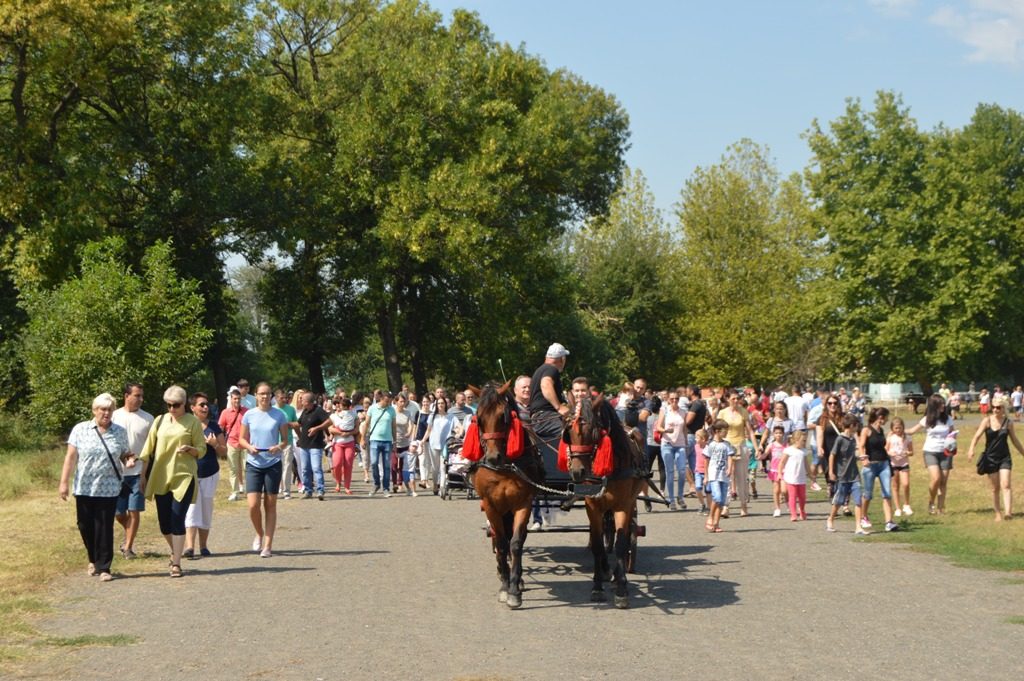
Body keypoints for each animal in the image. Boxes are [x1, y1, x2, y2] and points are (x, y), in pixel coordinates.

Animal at [466, 378, 544, 606]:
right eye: (479, 418)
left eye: (503, 416)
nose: (493, 457)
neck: (504, 469)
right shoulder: (491, 505)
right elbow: (501, 543)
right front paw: (504, 585)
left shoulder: (522, 503)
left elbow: (516, 543)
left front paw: (514, 589)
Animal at [565, 391, 643, 606]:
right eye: (568, 432)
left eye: (593, 432)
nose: (577, 472)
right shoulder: (592, 506)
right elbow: (598, 545)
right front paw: (597, 586)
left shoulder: (623, 505)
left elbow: (621, 545)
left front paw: (622, 588)